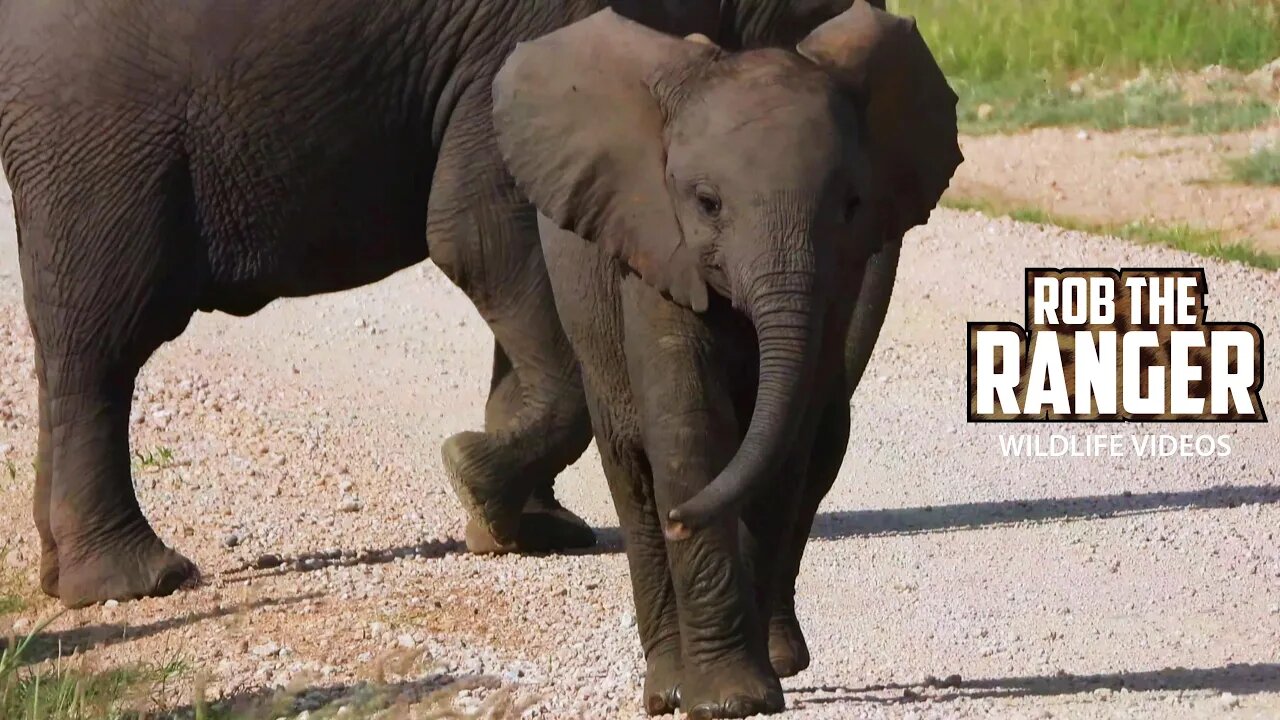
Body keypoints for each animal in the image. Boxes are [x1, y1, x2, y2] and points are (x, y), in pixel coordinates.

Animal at [0, 0, 875, 604]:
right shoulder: (522, 36)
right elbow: (481, 232)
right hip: (98, 134)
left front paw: (528, 530)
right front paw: (474, 481)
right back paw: (137, 583)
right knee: (104, 343)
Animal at [488, 4, 962, 712]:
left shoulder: (838, 280)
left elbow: (787, 441)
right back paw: (666, 687)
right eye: (707, 204)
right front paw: (727, 700)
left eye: (851, 205)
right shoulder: (654, 241)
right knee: (631, 468)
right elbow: (688, 429)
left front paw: (755, 686)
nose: (682, 523)